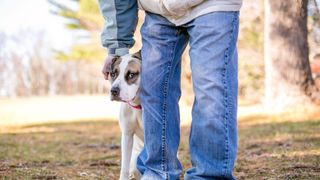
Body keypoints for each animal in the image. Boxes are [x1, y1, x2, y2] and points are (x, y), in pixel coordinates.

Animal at [109, 51, 144, 179]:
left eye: (131, 74)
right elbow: (124, 166)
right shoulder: (127, 135)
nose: (113, 91)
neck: (138, 106)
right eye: (113, 74)